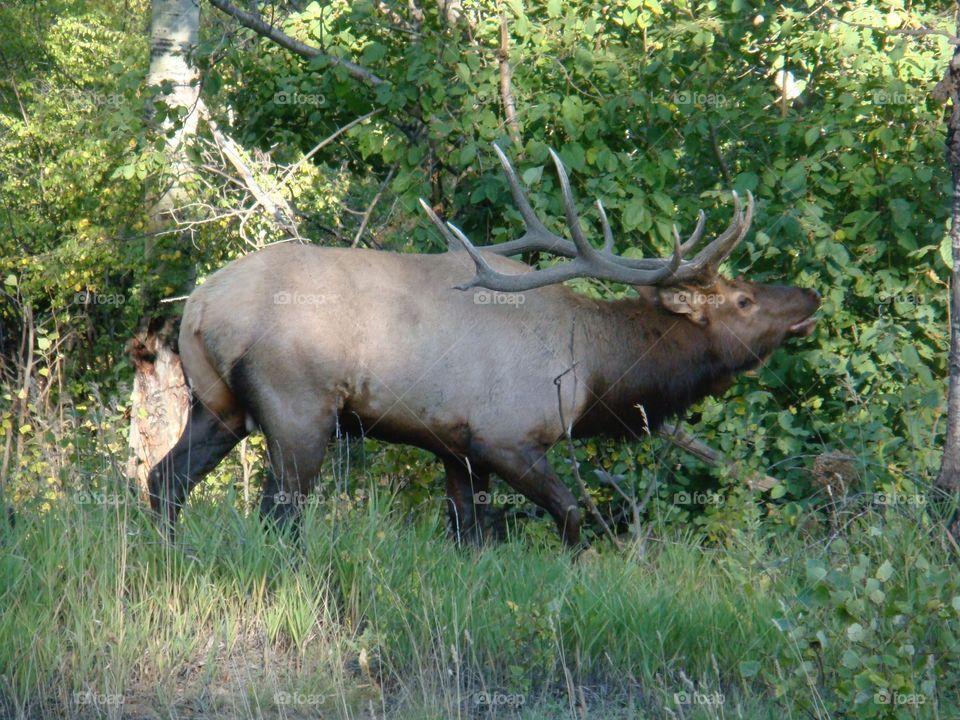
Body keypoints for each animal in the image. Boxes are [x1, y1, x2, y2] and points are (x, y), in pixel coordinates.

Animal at [148, 145, 820, 548]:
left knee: (164, 478)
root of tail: (200, 306)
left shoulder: (456, 448)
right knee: (276, 514)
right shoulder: (506, 435)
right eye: (743, 300)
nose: (810, 297)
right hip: (297, 407)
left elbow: (469, 535)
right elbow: (572, 515)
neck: (594, 372)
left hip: (219, 405)